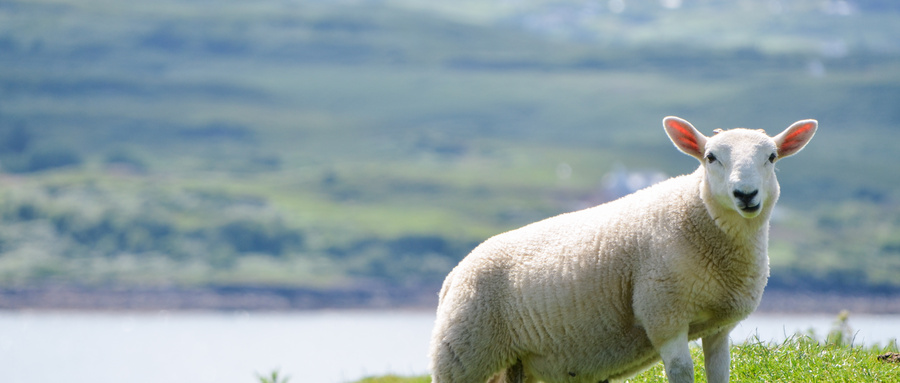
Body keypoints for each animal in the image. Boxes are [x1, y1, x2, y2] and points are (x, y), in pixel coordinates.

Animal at [428, 117, 816, 383]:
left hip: (517, 363)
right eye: (710, 157)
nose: (745, 194)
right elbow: (681, 373)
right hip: (464, 355)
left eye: (772, 156)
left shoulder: (719, 328)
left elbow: (719, 375)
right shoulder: (663, 313)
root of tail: (452, 275)